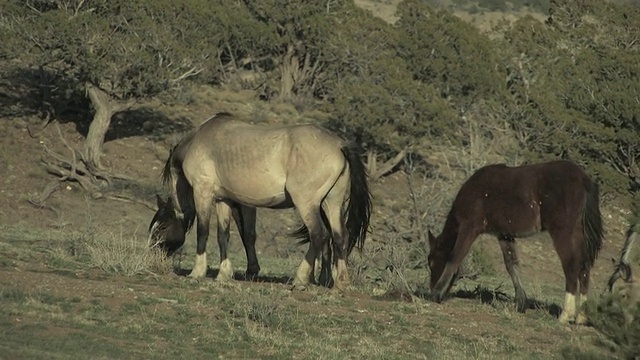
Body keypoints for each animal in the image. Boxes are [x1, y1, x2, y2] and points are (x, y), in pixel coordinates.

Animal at [148, 112, 372, 290]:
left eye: (162, 227)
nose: (152, 256)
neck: (199, 141)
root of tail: (339, 145)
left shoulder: (203, 193)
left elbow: (203, 231)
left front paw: (197, 272)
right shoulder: (224, 201)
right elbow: (223, 235)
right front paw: (224, 274)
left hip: (307, 205)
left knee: (319, 235)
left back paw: (300, 279)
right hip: (331, 204)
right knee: (340, 236)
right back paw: (340, 283)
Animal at [428, 160, 604, 324]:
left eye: (431, 262)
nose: (430, 289)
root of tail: (583, 179)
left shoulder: (469, 228)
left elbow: (454, 258)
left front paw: (437, 294)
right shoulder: (504, 235)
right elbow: (511, 265)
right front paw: (520, 303)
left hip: (563, 232)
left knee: (571, 267)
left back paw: (566, 315)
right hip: (578, 234)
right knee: (584, 267)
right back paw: (581, 316)